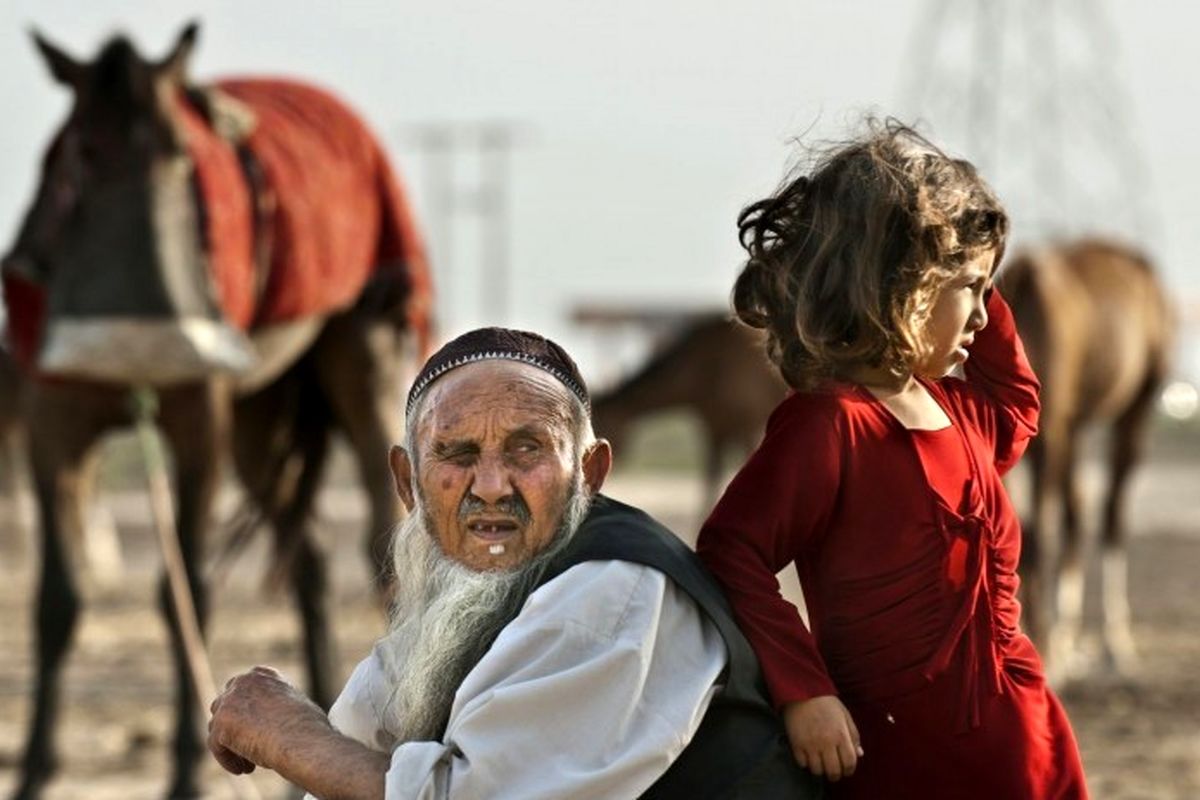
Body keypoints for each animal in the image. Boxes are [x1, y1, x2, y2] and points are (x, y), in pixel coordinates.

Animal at [0, 21, 432, 796]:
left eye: (180, 153)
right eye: (80, 152)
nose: (150, 339)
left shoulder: (198, 423)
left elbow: (187, 597)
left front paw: (183, 773)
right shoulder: (55, 428)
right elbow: (57, 599)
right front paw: (33, 772)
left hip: (363, 361)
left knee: (382, 547)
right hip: (261, 422)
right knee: (308, 558)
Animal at [1003, 239, 1171, 681]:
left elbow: (1037, 536)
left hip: (1126, 415)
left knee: (1108, 512)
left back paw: (1113, 644)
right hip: (1073, 428)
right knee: (1076, 512)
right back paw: (1068, 642)